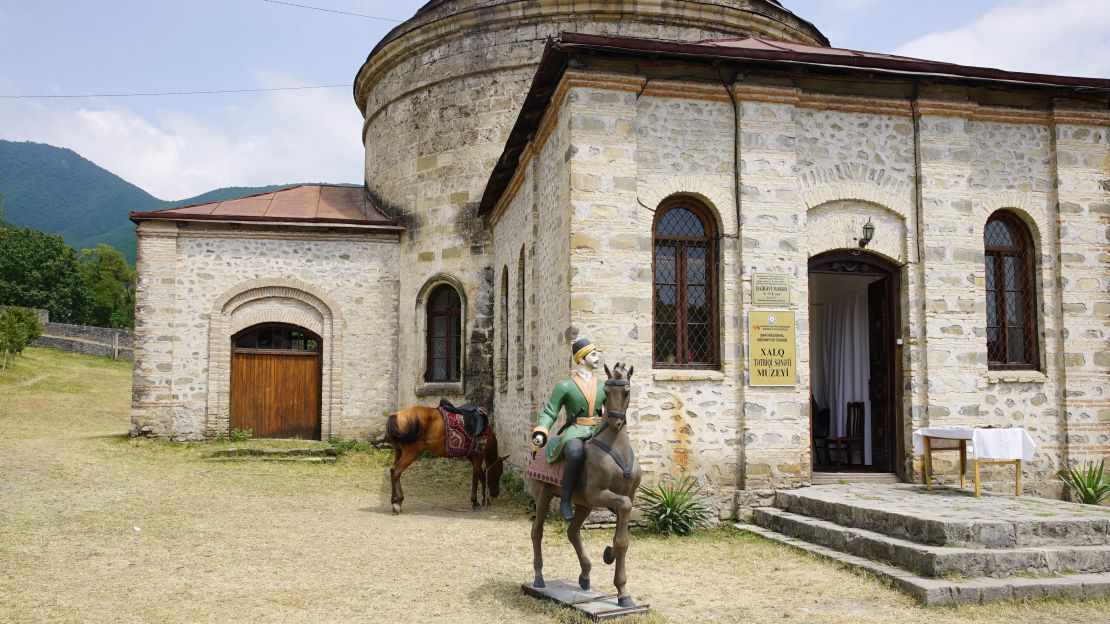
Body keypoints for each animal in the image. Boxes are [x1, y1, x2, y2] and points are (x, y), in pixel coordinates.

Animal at [528, 361, 643, 604]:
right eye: (607, 391)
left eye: (626, 391)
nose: (616, 421)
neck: (615, 449)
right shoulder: (598, 494)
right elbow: (622, 519)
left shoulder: (624, 497)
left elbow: (622, 540)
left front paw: (622, 590)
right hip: (545, 497)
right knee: (537, 531)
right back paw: (539, 577)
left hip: (583, 505)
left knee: (573, 532)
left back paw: (585, 575)